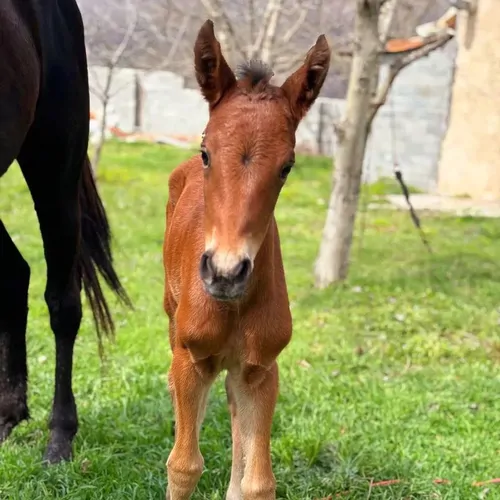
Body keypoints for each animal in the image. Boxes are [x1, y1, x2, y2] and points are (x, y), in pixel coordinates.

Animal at [162, 19, 330, 500]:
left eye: (287, 166)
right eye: (207, 153)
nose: (225, 272)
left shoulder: (260, 370)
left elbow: (257, 482)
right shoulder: (192, 359)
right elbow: (183, 465)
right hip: (172, 319)